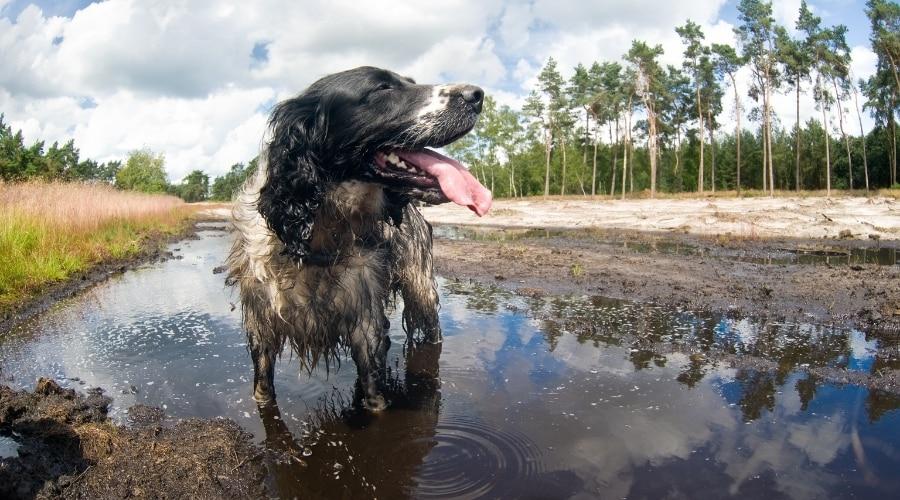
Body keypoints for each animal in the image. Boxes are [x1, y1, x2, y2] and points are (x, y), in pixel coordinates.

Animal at [225, 66, 492, 410]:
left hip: (421, 288)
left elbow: (374, 394)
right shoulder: (261, 326)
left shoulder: (366, 323)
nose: (477, 95)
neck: (317, 239)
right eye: (381, 89)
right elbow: (263, 389)